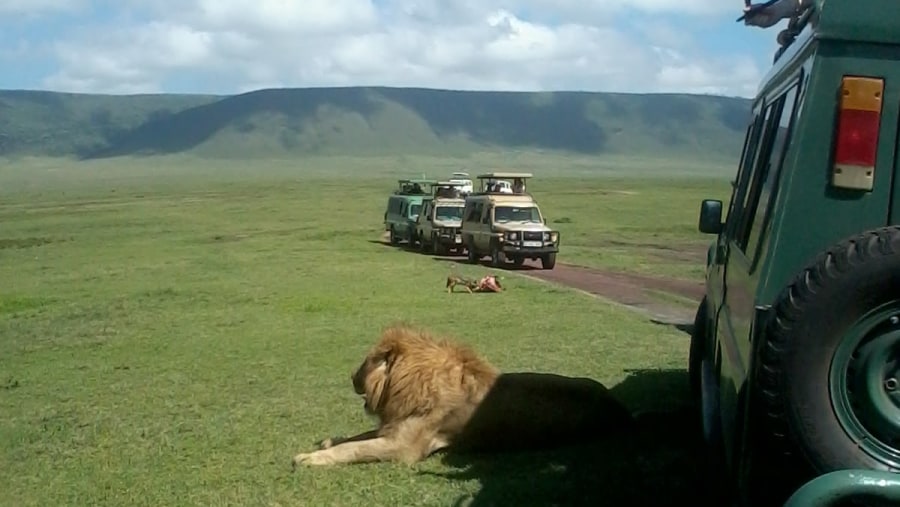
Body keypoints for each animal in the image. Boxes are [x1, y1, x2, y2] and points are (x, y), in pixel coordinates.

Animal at [292, 326, 636, 468]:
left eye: (364, 363)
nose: (350, 376)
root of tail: (621, 408)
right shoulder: (394, 427)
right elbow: (357, 438)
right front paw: (327, 443)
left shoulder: (404, 447)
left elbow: (355, 449)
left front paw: (309, 458)